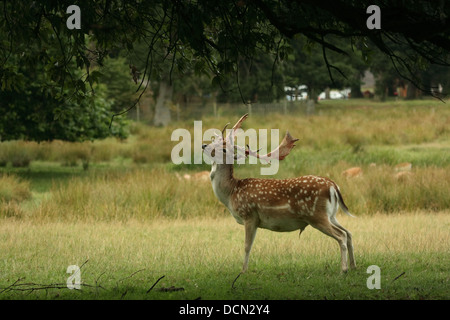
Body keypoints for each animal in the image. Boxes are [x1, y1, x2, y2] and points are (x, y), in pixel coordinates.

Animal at [202, 114, 356, 274]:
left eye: (224, 149)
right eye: (214, 141)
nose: (204, 146)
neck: (231, 193)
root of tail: (333, 186)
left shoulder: (249, 215)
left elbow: (246, 246)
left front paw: (243, 271)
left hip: (317, 215)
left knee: (341, 235)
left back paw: (344, 269)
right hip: (331, 215)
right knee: (349, 233)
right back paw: (353, 266)